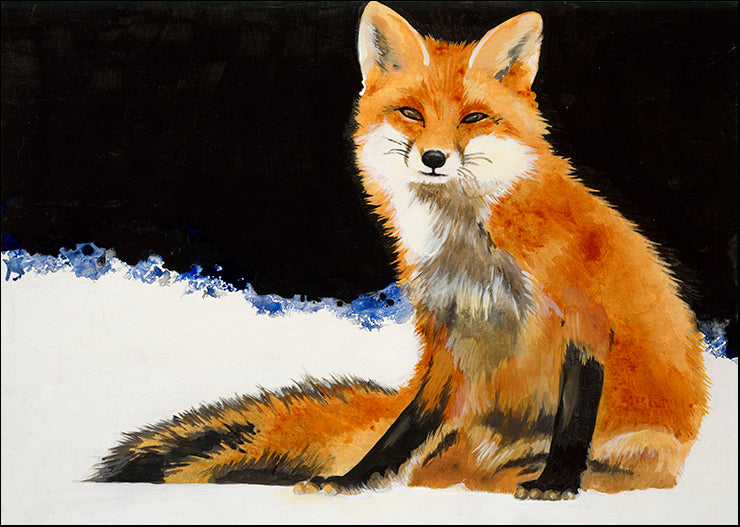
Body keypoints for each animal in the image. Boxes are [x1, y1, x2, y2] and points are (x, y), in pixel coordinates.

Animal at [91, 2, 710, 500]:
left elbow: (573, 422)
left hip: (643, 446)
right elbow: (403, 429)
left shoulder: (584, 320)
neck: (472, 251)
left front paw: (557, 482)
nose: (434, 158)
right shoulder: (448, 337)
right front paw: (353, 481)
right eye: (412, 113)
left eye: (474, 118)